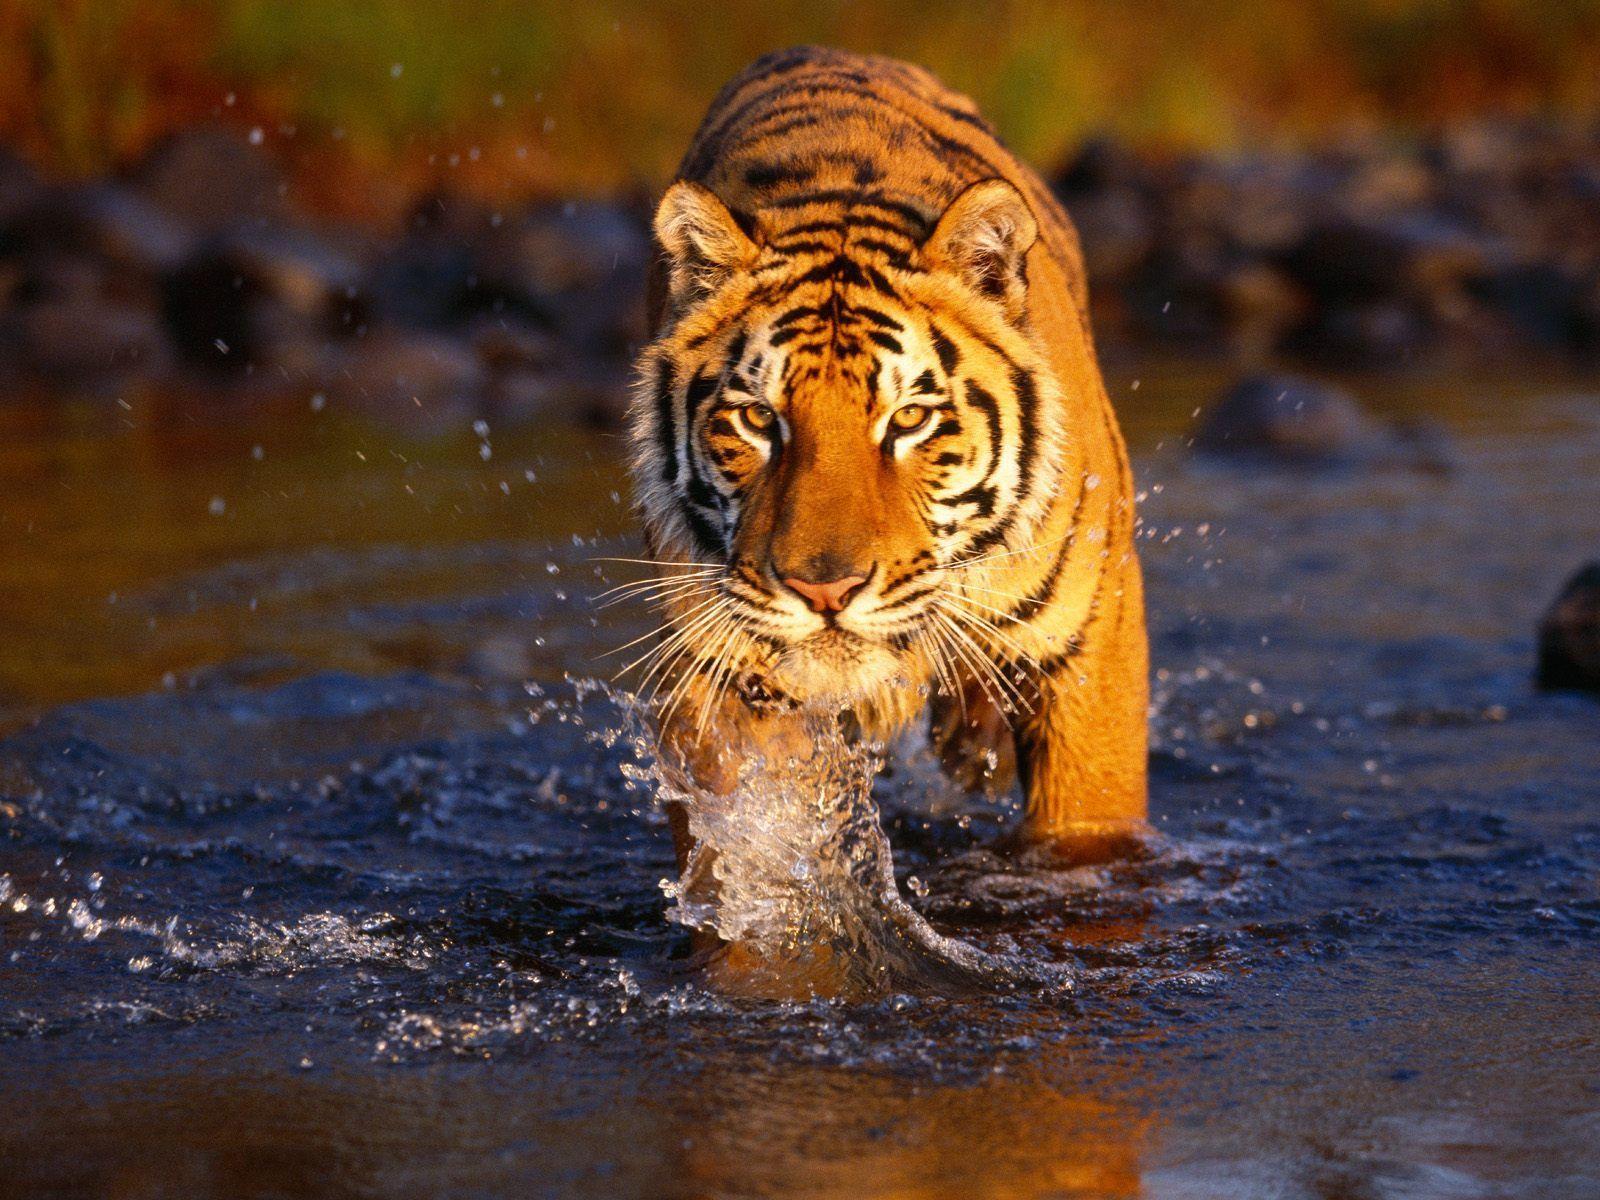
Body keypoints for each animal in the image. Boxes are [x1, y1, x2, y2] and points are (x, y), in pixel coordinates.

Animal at [624, 46, 1148, 878]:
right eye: (758, 419)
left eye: (908, 419)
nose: (824, 591)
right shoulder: (720, 672)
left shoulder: (1090, 647)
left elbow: (1086, 829)